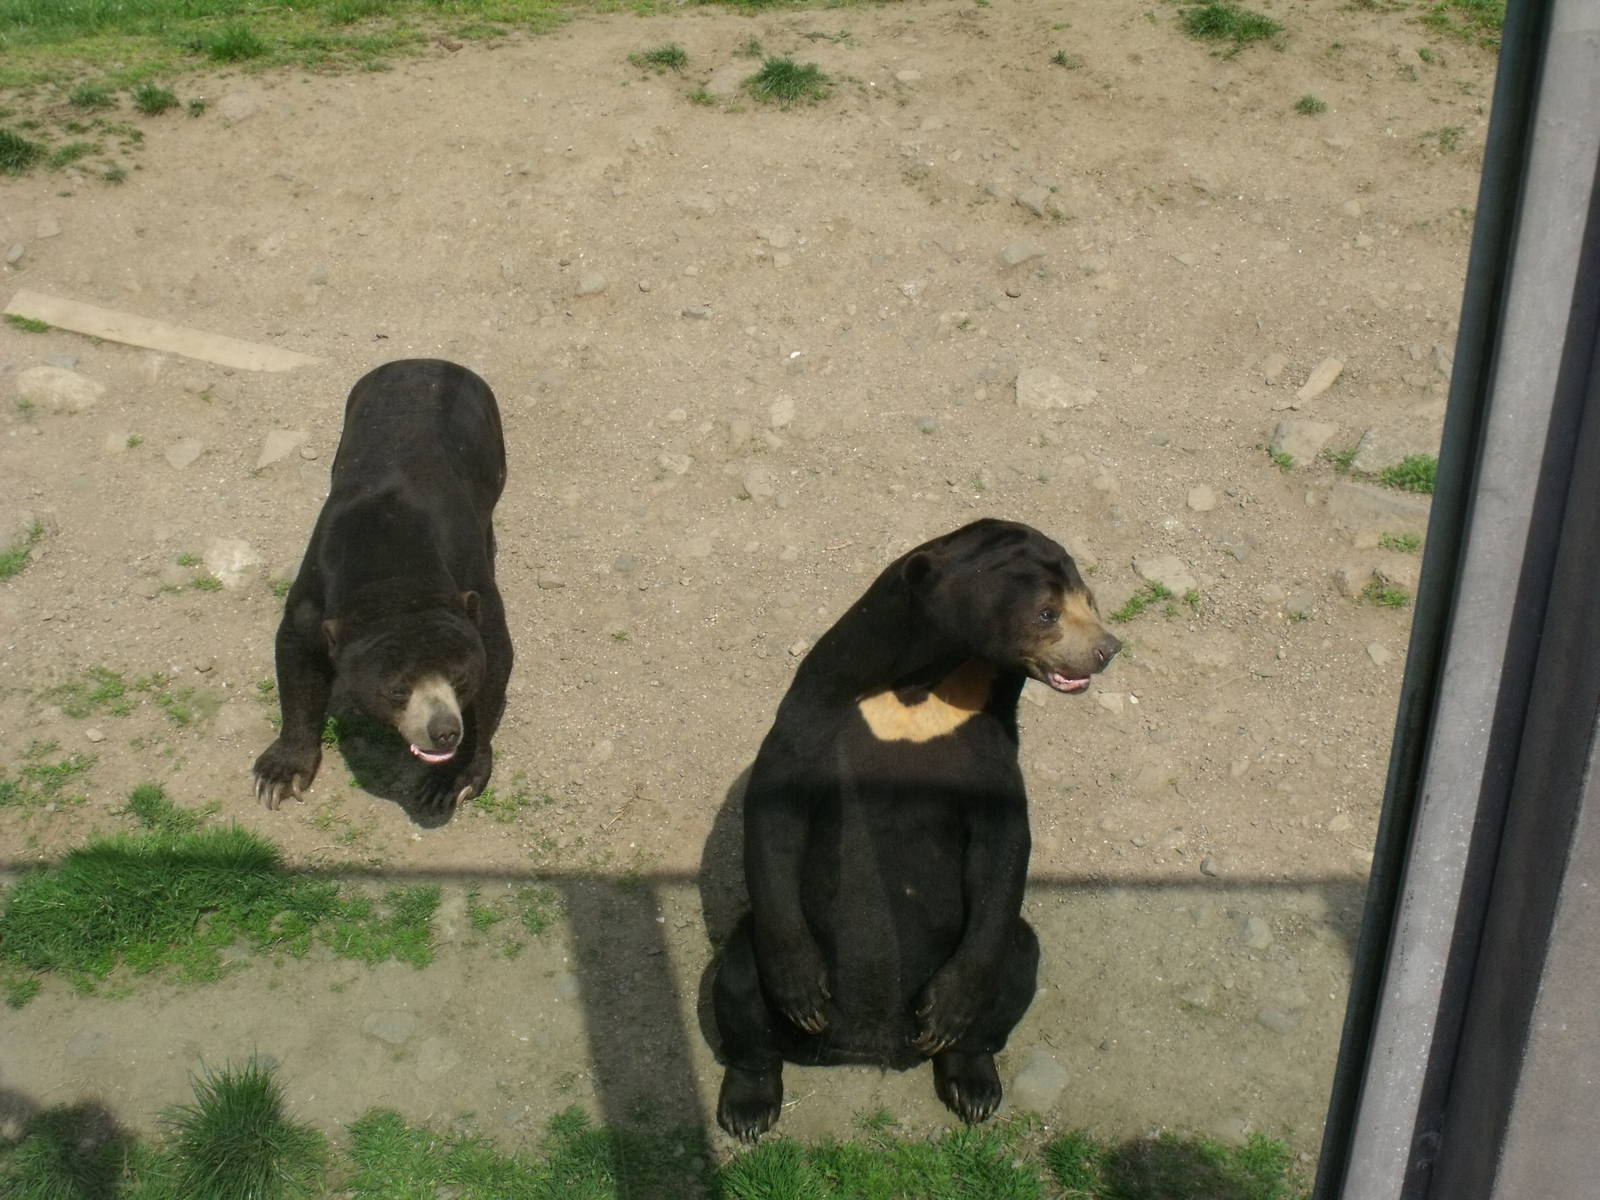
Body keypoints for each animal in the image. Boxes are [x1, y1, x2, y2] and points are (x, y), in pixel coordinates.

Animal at [252, 359, 513, 814]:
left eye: (459, 677)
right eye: (396, 689)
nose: (444, 731)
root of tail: (423, 361)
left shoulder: (472, 588)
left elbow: (495, 663)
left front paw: (452, 780)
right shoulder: (316, 587)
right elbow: (297, 658)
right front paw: (278, 774)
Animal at [711, 517, 1121, 1140]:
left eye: (1090, 601)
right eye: (1047, 612)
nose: (1106, 650)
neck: (927, 684)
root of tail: (867, 1047)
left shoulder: (990, 745)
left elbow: (1004, 842)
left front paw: (949, 1009)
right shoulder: (814, 711)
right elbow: (775, 814)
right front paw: (803, 992)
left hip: (998, 960)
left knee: (1015, 966)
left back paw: (970, 1081)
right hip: (753, 960)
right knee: (738, 986)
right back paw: (750, 1105)